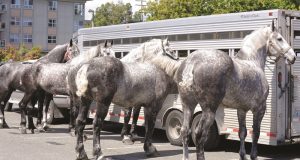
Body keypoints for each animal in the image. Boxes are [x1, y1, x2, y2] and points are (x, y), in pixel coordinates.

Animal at [137, 26, 296, 159]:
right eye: (279, 38)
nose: (293, 56)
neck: (252, 62)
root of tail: (192, 62)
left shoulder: (241, 110)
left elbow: (242, 132)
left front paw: (242, 155)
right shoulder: (259, 109)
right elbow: (255, 133)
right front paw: (253, 156)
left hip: (188, 105)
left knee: (185, 132)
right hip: (209, 110)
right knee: (199, 135)